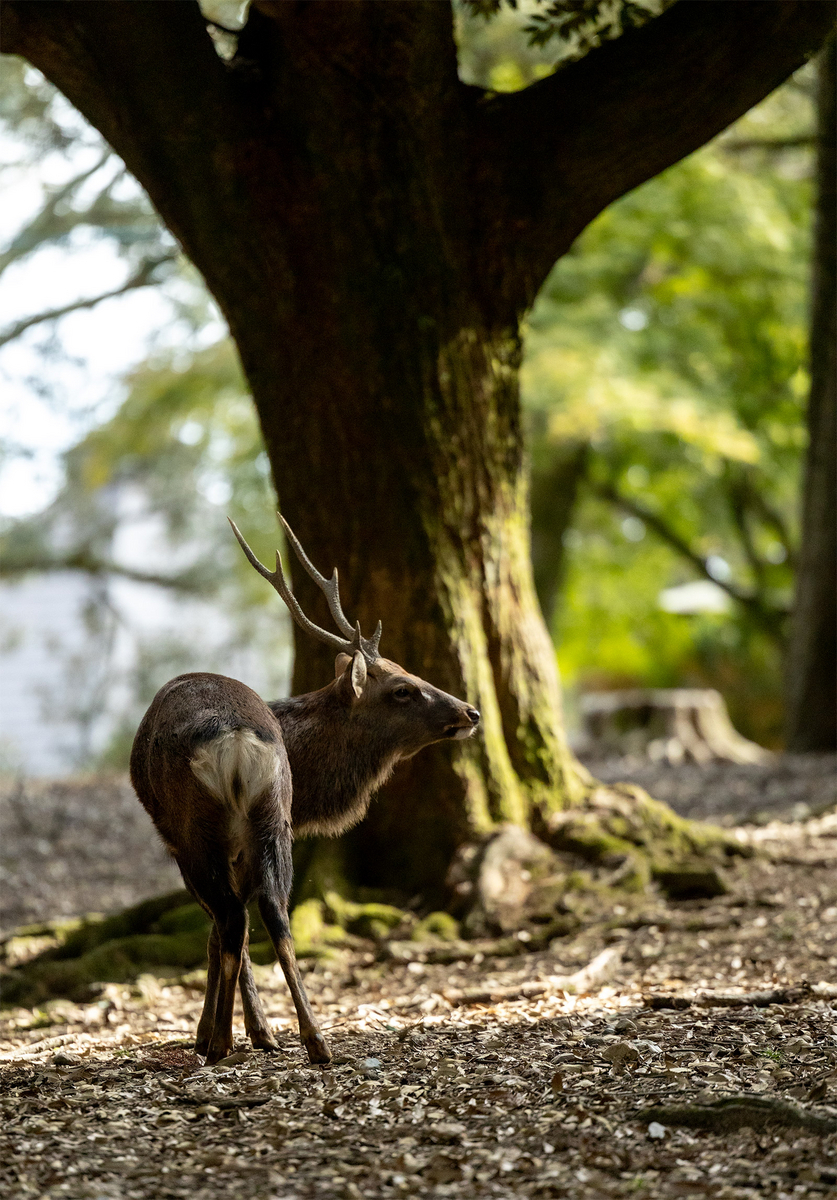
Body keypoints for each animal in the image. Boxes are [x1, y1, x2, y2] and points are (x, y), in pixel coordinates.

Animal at [129, 516, 474, 1060]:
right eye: (402, 687)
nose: (471, 711)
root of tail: (235, 740)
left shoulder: (181, 844)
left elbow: (216, 933)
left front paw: (223, 1031)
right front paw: (259, 1031)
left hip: (198, 827)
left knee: (234, 917)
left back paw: (221, 1041)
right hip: (269, 818)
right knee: (273, 912)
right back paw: (313, 1039)